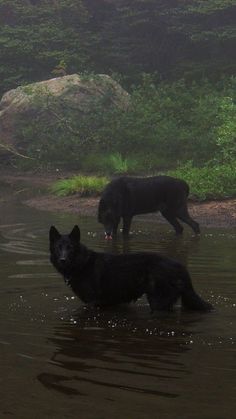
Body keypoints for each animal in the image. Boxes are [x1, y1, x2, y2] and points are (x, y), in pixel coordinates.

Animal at [48, 226, 213, 312]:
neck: (82, 263)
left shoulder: (92, 303)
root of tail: (181, 267)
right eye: (58, 248)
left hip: (158, 301)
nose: (63, 260)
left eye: (70, 248)